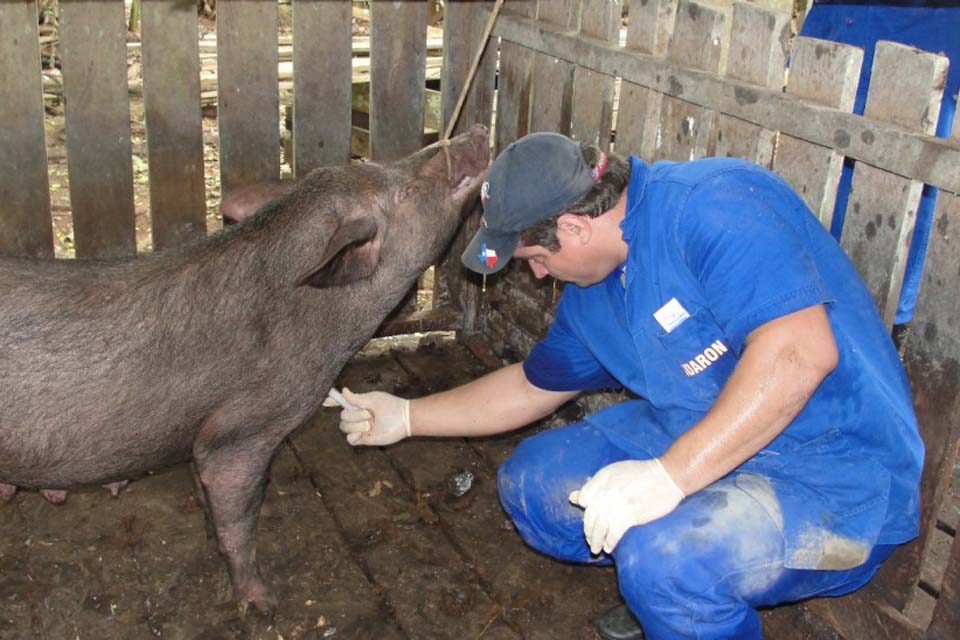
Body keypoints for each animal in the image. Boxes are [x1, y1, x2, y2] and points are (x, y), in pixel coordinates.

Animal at [0, 124, 492, 608]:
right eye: (403, 191)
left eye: (379, 163)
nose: (476, 129)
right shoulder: (242, 428)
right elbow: (237, 513)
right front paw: (261, 601)